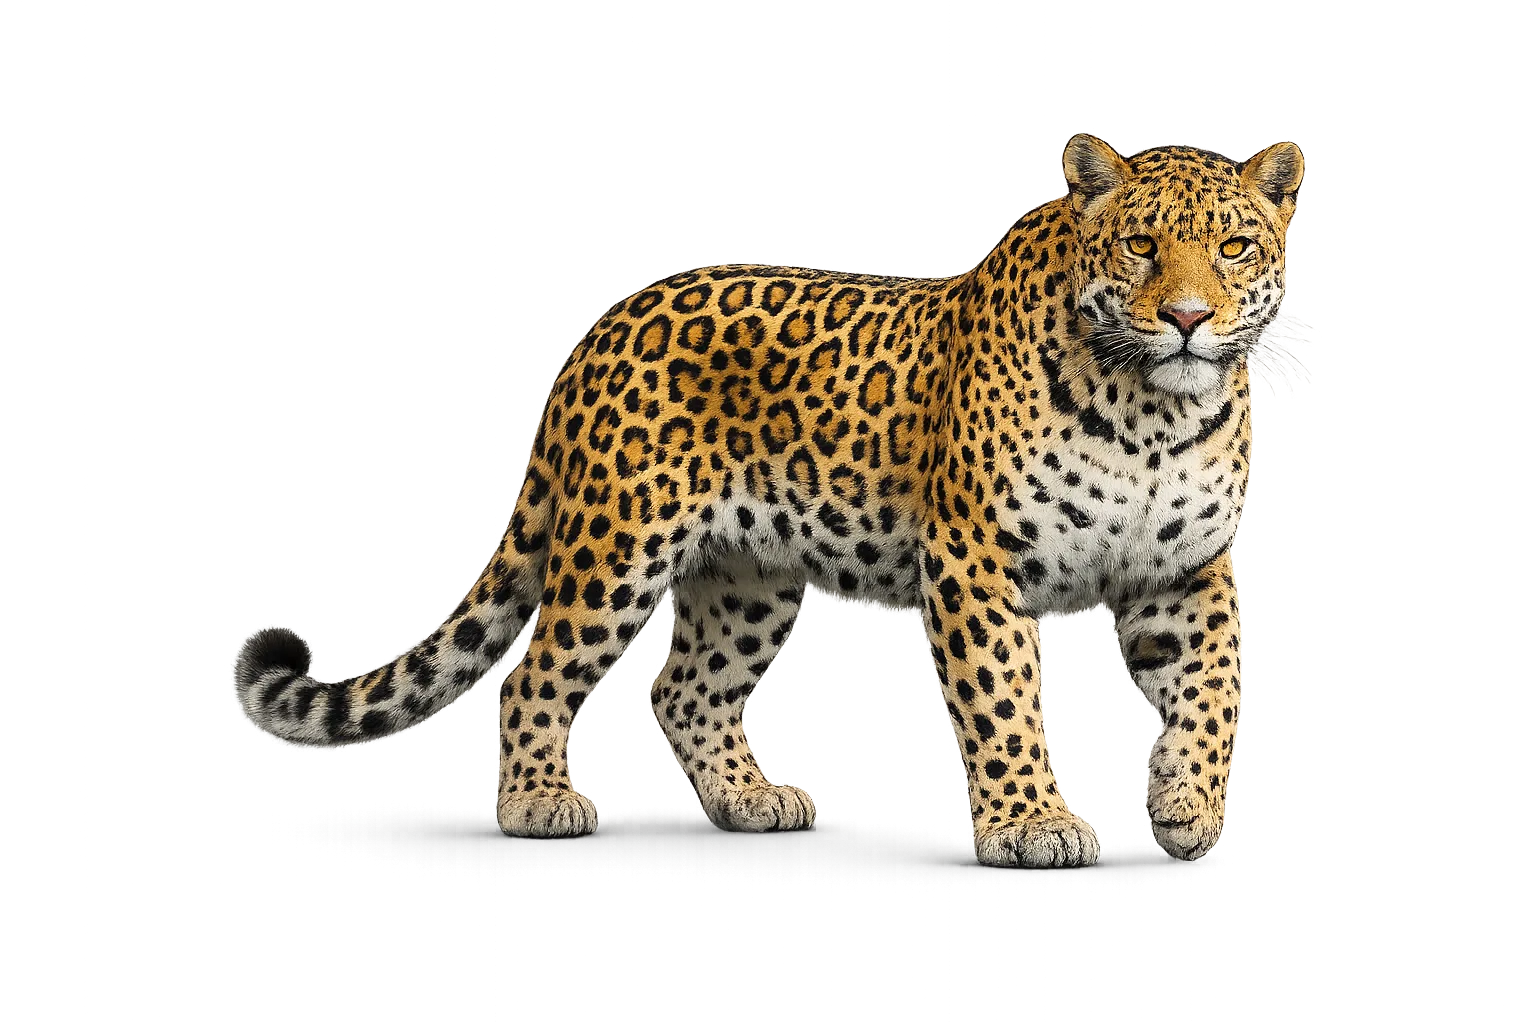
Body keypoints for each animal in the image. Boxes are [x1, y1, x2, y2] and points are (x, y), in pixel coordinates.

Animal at [231, 134, 1305, 868]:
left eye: (1235, 248)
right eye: (1139, 245)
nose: (1188, 318)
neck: (1151, 411)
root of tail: (596, 327)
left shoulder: (1186, 572)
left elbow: (1215, 691)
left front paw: (1185, 806)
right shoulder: (974, 558)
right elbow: (1004, 695)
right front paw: (1031, 822)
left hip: (750, 575)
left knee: (684, 688)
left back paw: (752, 800)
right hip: (617, 547)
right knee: (531, 673)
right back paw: (538, 803)